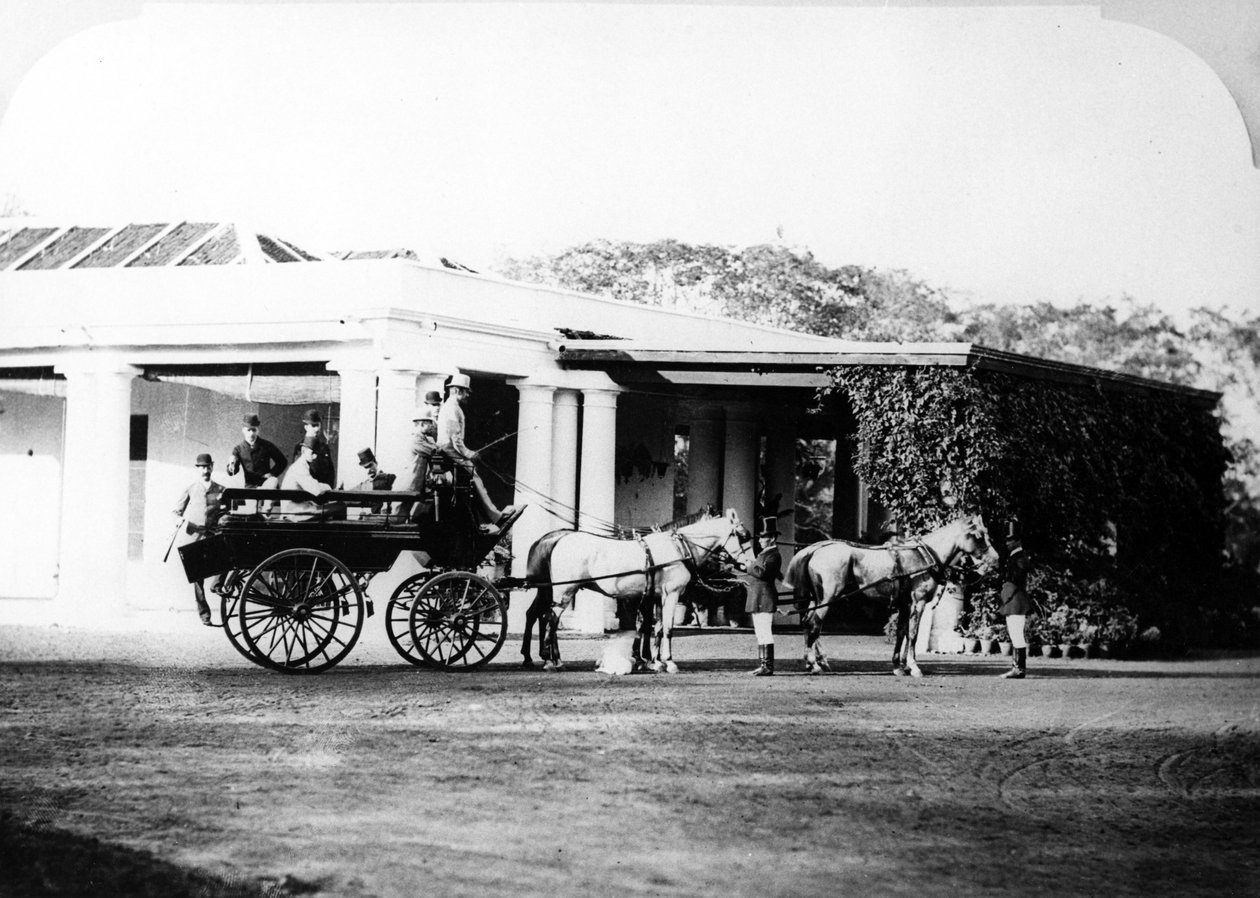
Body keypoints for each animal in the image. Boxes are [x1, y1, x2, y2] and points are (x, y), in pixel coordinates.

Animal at [786, 511, 992, 675]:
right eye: (979, 536)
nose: (995, 560)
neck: (924, 557)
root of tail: (814, 549)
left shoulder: (905, 604)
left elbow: (902, 632)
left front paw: (899, 665)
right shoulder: (917, 603)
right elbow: (913, 633)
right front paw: (913, 666)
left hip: (817, 599)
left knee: (809, 623)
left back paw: (816, 661)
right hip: (827, 597)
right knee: (814, 624)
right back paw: (814, 664)